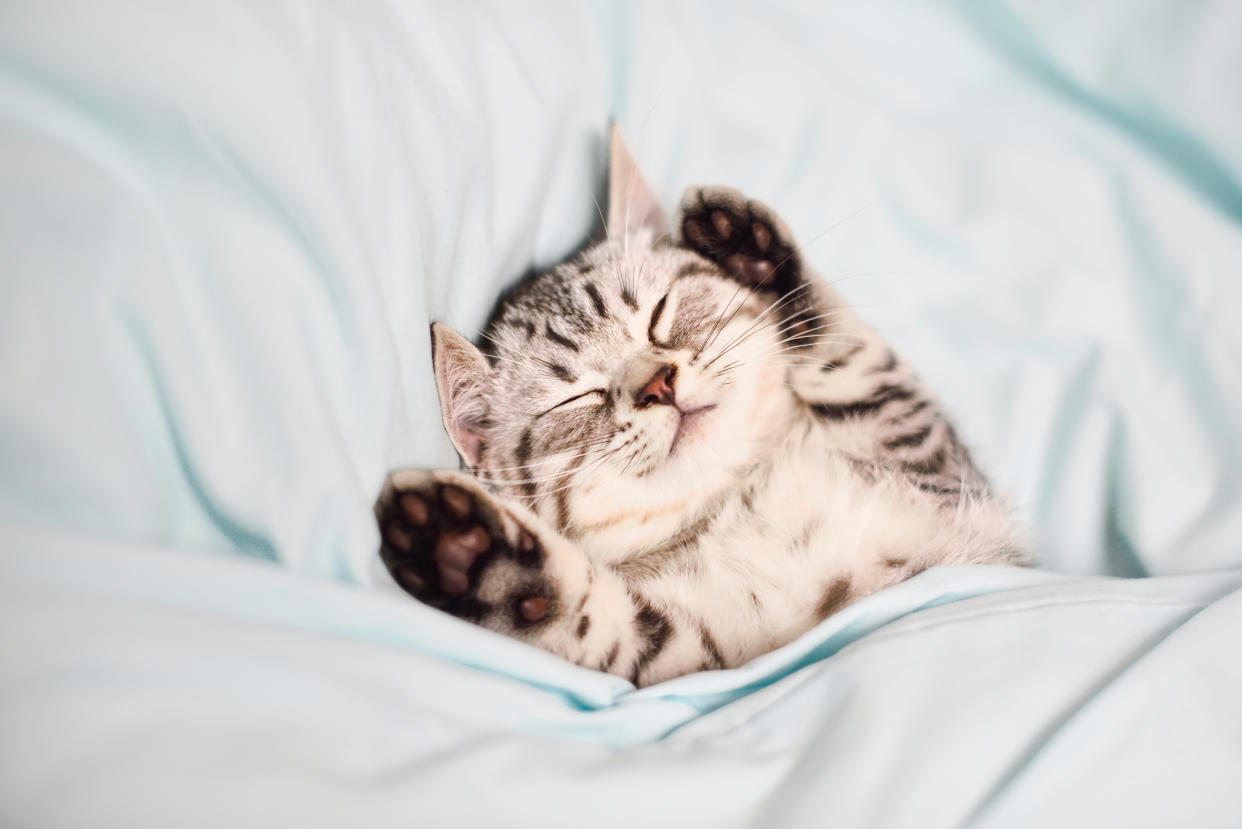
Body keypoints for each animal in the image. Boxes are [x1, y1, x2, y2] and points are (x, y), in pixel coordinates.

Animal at [375, 129, 1028, 686]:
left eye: (660, 314)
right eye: (578, 397)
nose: (658, 384)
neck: (735, 501)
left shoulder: (938, 474)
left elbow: (851, 353)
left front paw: (752, 253)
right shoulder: (700, 655)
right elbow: (592, 620)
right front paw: (466, 552)